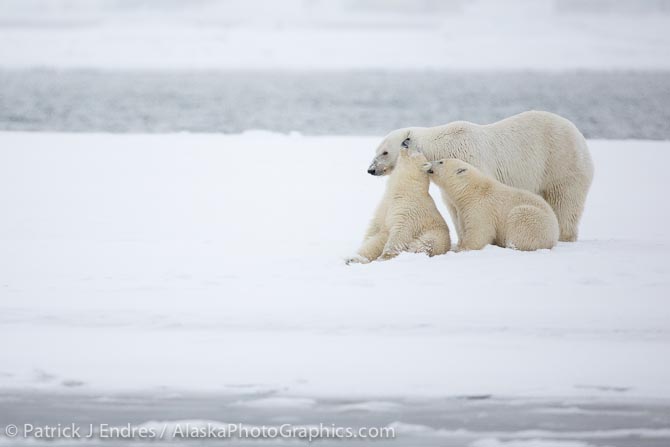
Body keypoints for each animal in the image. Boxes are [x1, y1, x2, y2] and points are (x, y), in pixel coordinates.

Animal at [428, 160, 560, 252]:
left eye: (441, 161)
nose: (429, 165)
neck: (471, 191)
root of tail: (555, 234)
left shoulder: (481, 206)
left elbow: (479, 231)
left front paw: (461, 248)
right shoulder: (463, 210)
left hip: (534, 220)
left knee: (520, 220)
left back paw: (510, 245)